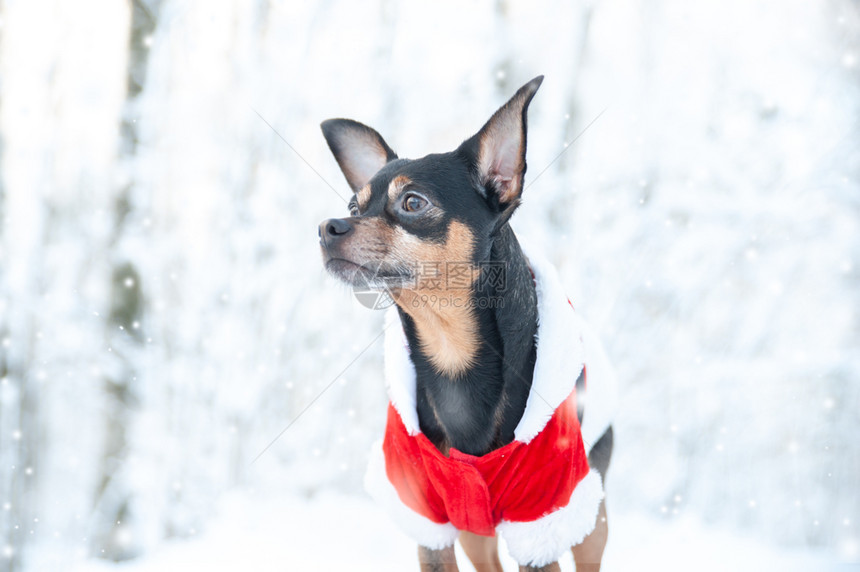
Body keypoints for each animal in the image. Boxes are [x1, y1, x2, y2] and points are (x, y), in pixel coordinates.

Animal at [320, 77, 616, 572]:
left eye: (412, 202)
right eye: (352, 206)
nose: (328, 227)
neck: (450, 353)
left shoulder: (541, 519)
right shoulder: (428, 523)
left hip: (590, 515)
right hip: (474, 530)